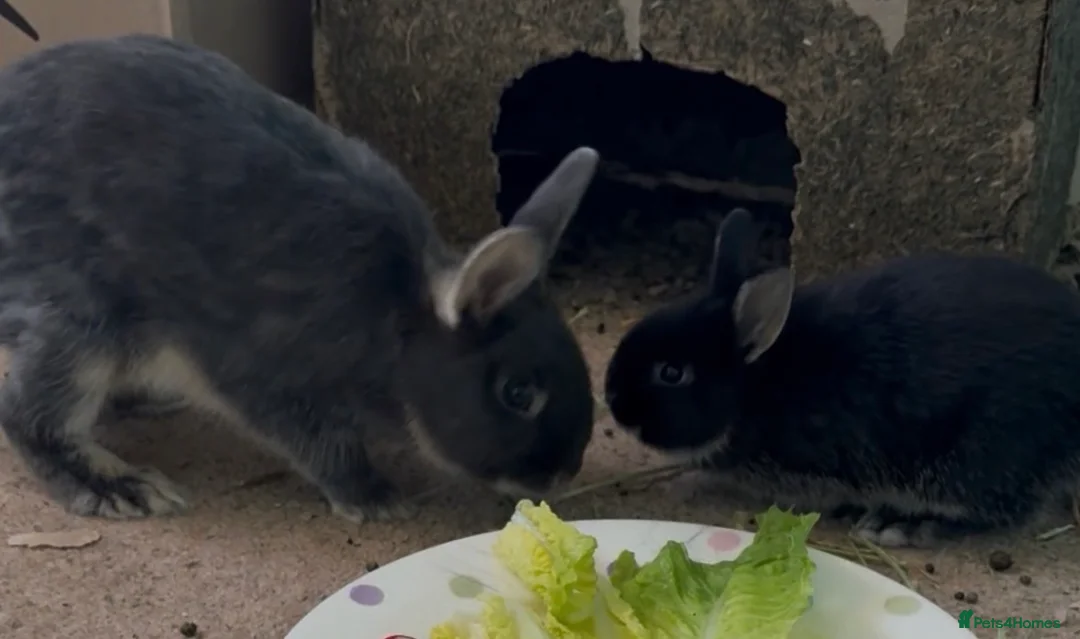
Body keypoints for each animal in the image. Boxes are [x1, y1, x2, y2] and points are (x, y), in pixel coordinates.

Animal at [0, 34, 599, 523]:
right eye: (517, 392)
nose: (561, 474)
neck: (398, 318)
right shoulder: (271, 377)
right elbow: (324, 448)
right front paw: (375, 499)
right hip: (83, 327)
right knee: (29, 415)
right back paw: (123, 486)